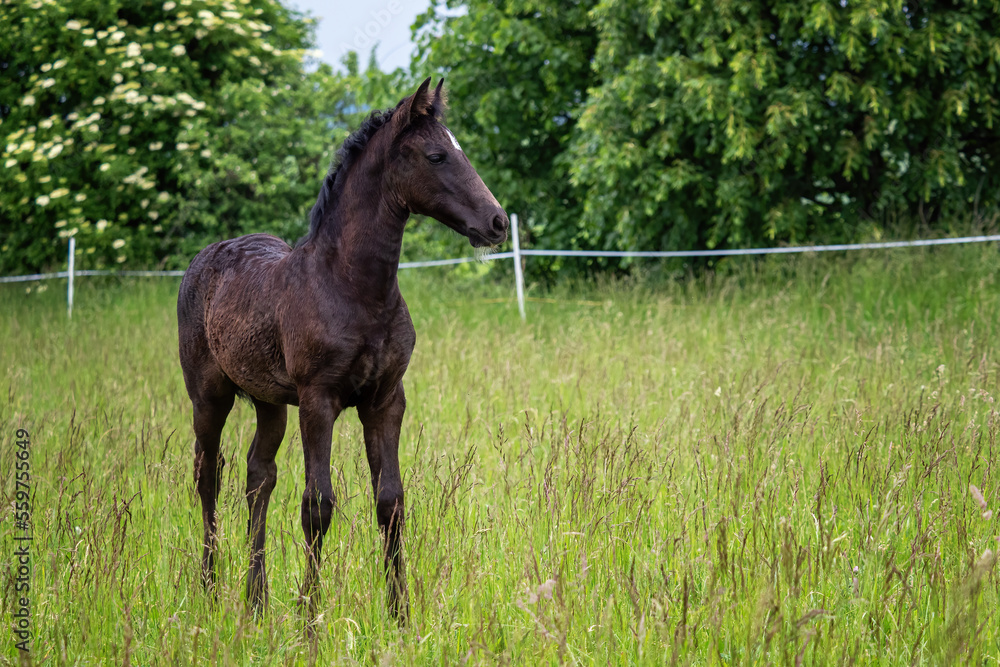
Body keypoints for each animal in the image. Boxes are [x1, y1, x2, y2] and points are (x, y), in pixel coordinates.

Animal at [177, 77, 508, 624]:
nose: (498, 222)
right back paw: (209, 592)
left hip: (269, 402)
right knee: (209, 477)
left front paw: (400, 616)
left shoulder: (386, 400)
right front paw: (310, 617)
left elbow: (391, 502)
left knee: (257, 476)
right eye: (437, 155)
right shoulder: (318, 402)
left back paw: (256, 601)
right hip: (209, 396)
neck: (354, 288)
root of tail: (205, 257)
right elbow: (318, 506)